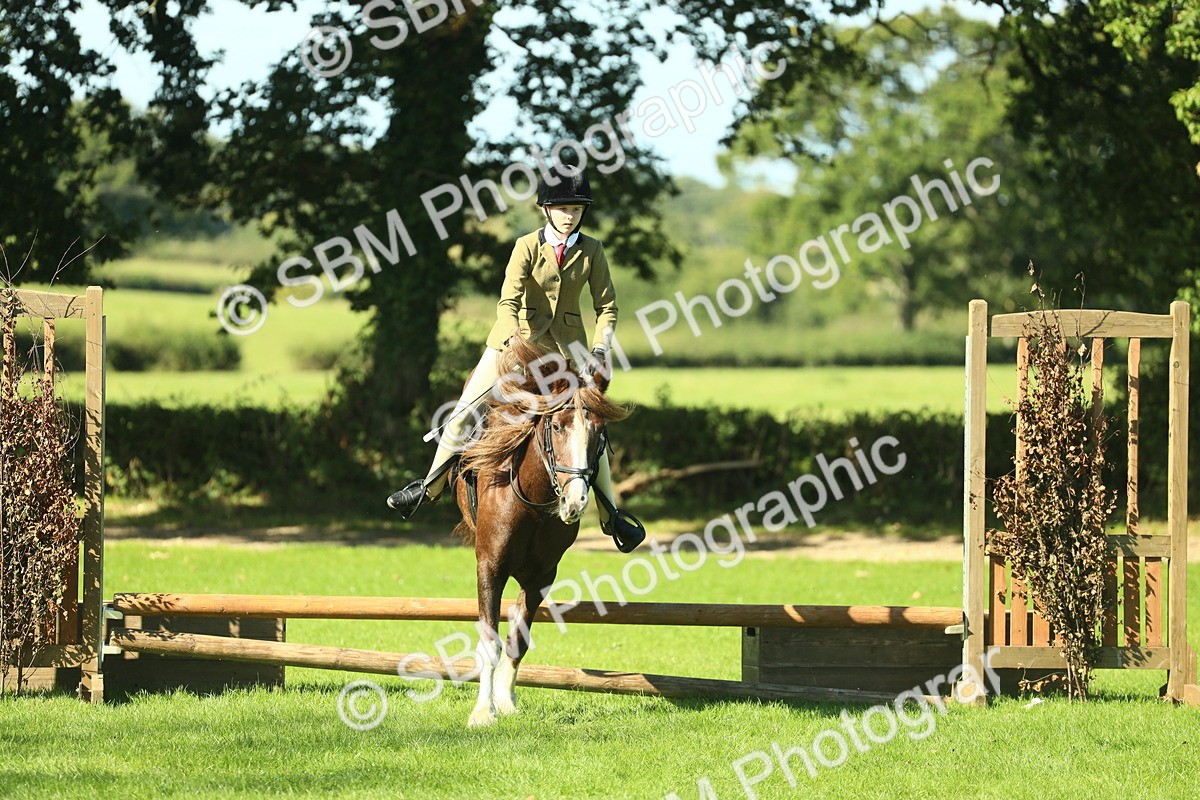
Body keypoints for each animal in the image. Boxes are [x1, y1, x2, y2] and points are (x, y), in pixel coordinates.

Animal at [449, 335, 630, 727]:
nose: (575, 502)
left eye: (599, 434)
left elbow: (518, 639)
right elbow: (490, 641)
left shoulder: (541, 577)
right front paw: (483, 712)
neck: (532, 502)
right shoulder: (490, 567)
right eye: (557, 427)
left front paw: (505, 701)